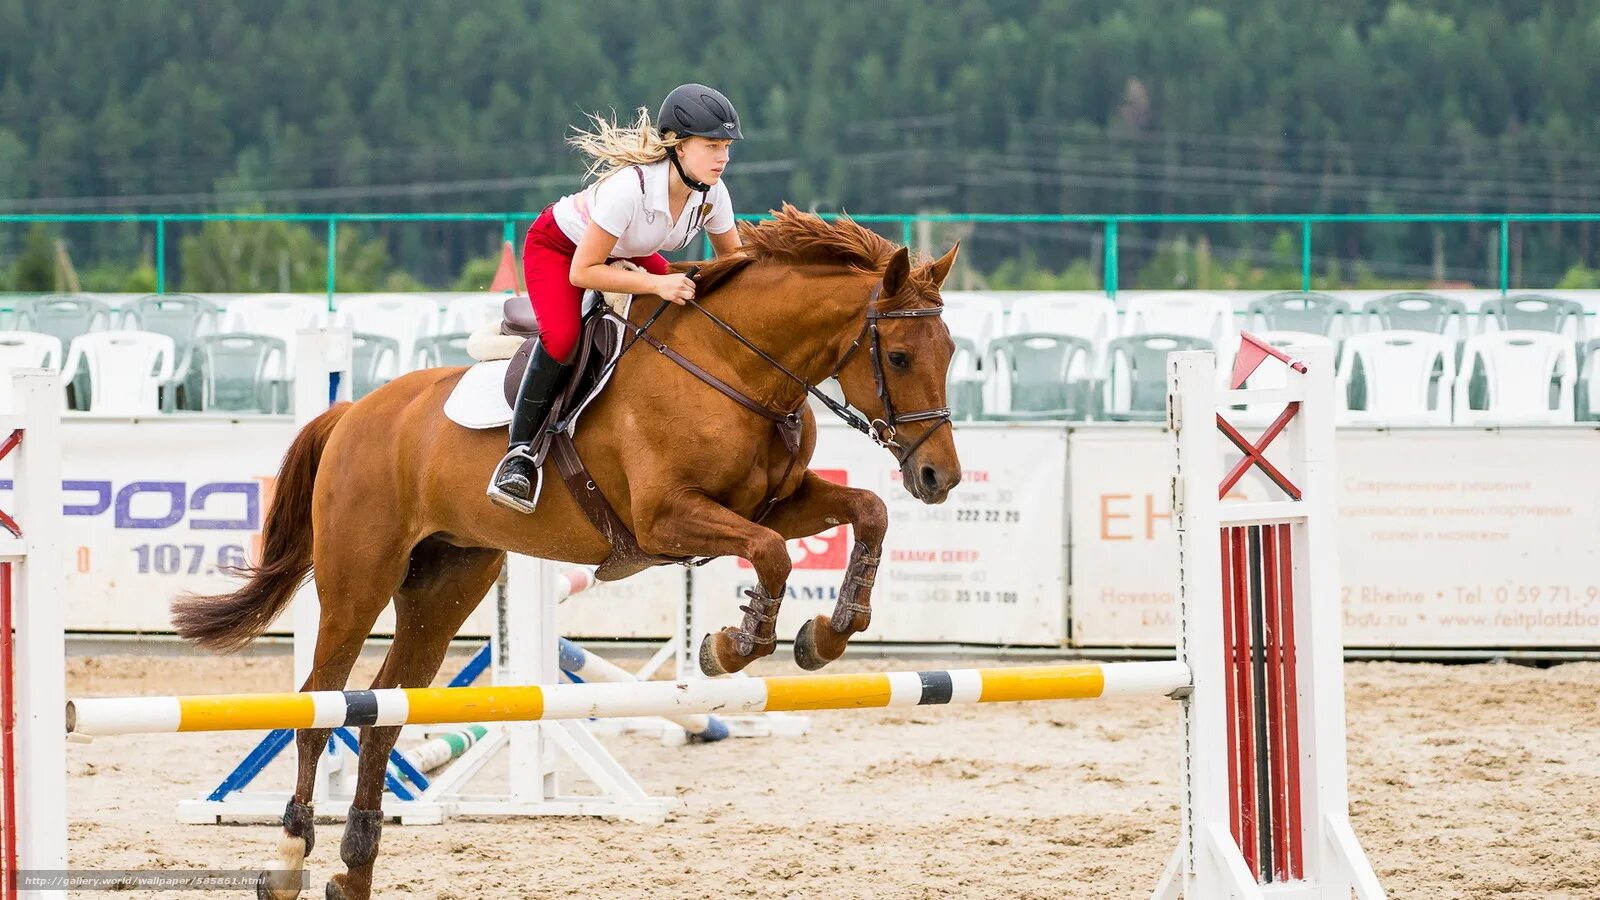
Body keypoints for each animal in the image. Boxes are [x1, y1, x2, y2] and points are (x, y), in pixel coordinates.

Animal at [172, 206, 960, 890]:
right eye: (897, 355)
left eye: (950, 353)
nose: (940, 477)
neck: (737, 368)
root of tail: (352, 412)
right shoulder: (668, 519)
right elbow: (771, 554)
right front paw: (732, 647)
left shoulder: (776, 502)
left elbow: (867, 513)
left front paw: (830, 632)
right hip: (358, 580)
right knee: (322, 704)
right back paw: (288, 854)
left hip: (445, 586)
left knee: (382, 713)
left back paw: (354, 869)